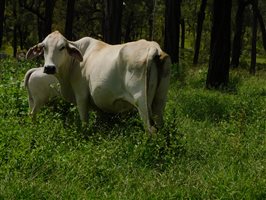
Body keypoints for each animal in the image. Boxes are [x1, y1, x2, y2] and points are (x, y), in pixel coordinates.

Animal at [26, 30, 170, 132]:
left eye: (62, 47)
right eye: (44, 47)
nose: (49, 68)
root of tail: (154, 47)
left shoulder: (81, 96)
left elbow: (84, 123)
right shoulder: (98, 105)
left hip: (142, 102)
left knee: (151, 129)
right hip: (159, 100)